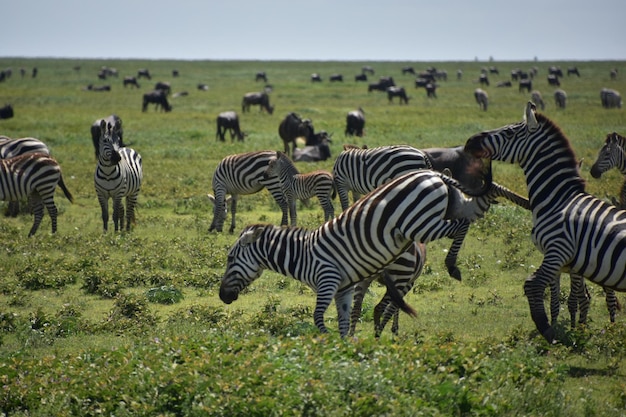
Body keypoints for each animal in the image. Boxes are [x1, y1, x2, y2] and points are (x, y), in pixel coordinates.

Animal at [219, 168, 492, 334]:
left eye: (230, 258)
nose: (222, 296)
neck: (303, 255)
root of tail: (429, 172)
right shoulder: (343, 289)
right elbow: (344, 319)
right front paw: (346, 347)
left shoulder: (327, 281)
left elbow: (318, 318)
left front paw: (327, 342)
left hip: (421, 223)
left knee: (462, 224)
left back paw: (452, 265)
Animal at [464, 101, 624, 342]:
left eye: (509, 132)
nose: (470, 141)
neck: (558, 199)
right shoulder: (558, 259)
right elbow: (557, 298)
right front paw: (559, 327)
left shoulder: (559, 249)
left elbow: (534, 285)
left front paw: (550, 331)